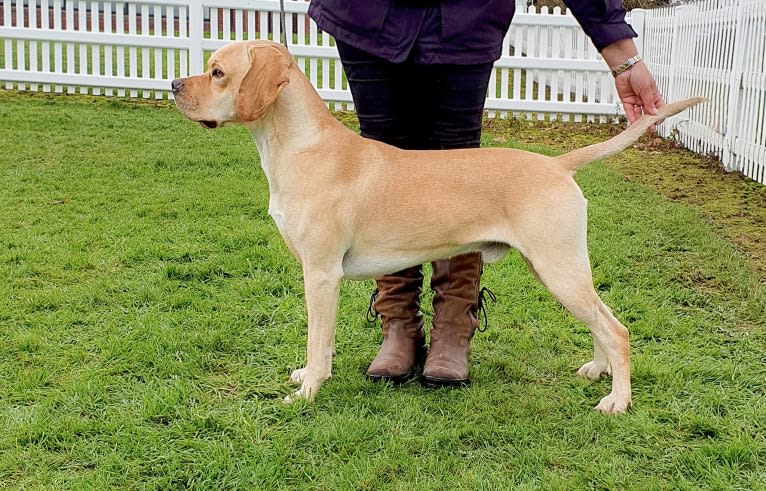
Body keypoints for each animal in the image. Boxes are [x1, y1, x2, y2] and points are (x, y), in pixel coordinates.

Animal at [176, 40, 708, 414]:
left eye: (217, 71)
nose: (177, 85)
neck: (301, 148)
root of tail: (557, 165)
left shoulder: (321, 275)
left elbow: (317, 340)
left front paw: (308, 391)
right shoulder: (319, 275)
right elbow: (320, 343)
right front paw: (306, 376)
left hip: (560, 270)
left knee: (616, 329)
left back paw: (618, 400)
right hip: (558, 271)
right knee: (602, 323)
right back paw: (598, 371)